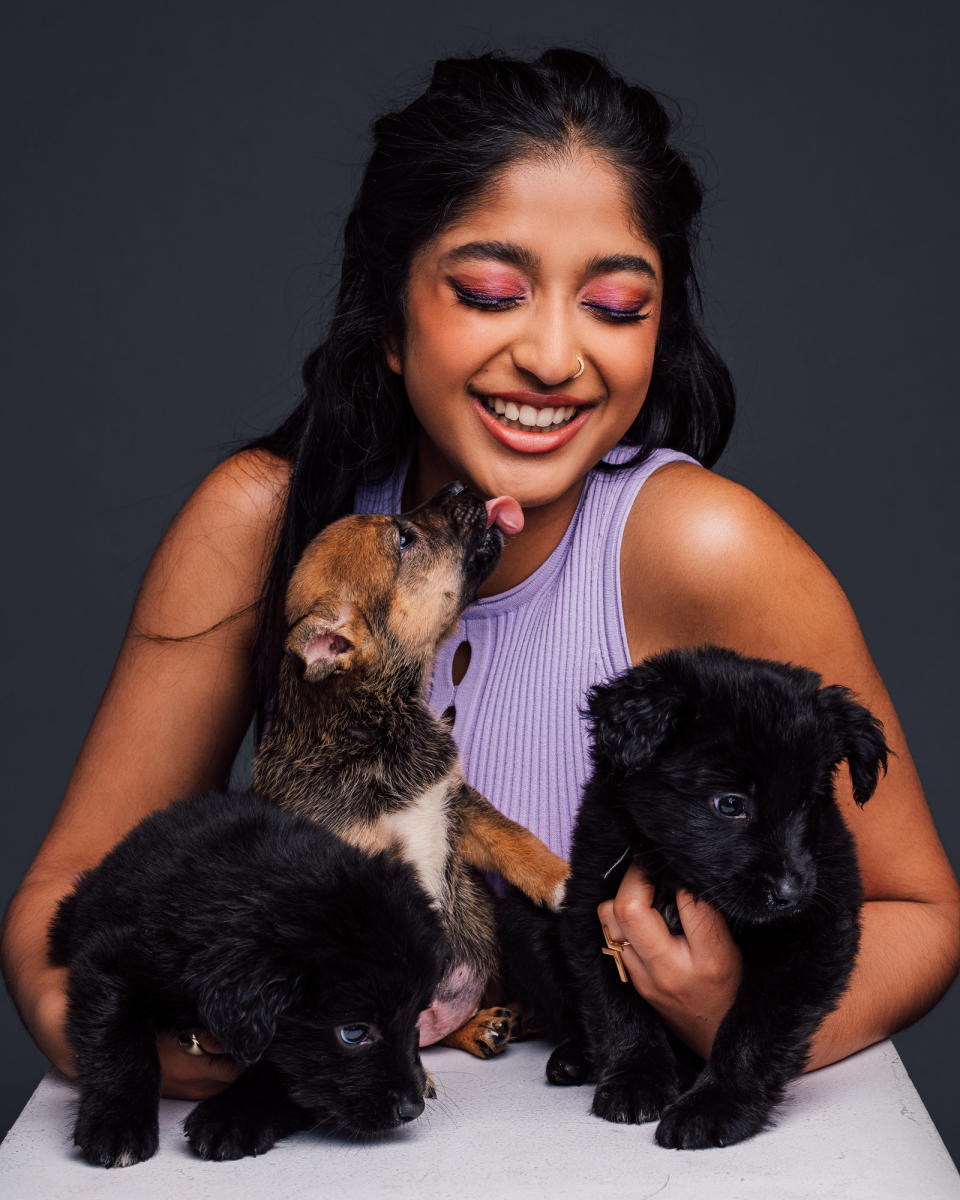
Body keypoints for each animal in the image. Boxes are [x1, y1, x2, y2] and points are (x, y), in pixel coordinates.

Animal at [48, 792, 446, 1166]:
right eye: (354, 1033)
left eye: (416, 1018)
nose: (412, 1109)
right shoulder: (111, 958)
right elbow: (116, 1036)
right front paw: (116, 1124)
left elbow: (286, 1074)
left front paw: (232, 1119)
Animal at [253, 482, 571, 1056]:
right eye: (404, 538)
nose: (458, 486)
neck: (376, 726)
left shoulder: (454, 804)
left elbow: (517, 839)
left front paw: (562, 881)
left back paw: (498, 1021)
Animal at [552, 648, 888, 1152]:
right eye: (730, 804)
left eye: (807, 803)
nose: (791, 895)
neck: (677, 876)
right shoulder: (589, 906)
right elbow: (616, 1005)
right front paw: (634, 1079)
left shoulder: (816, 934)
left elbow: (754, 1027)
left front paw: (717, 1104)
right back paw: (573, 1056)